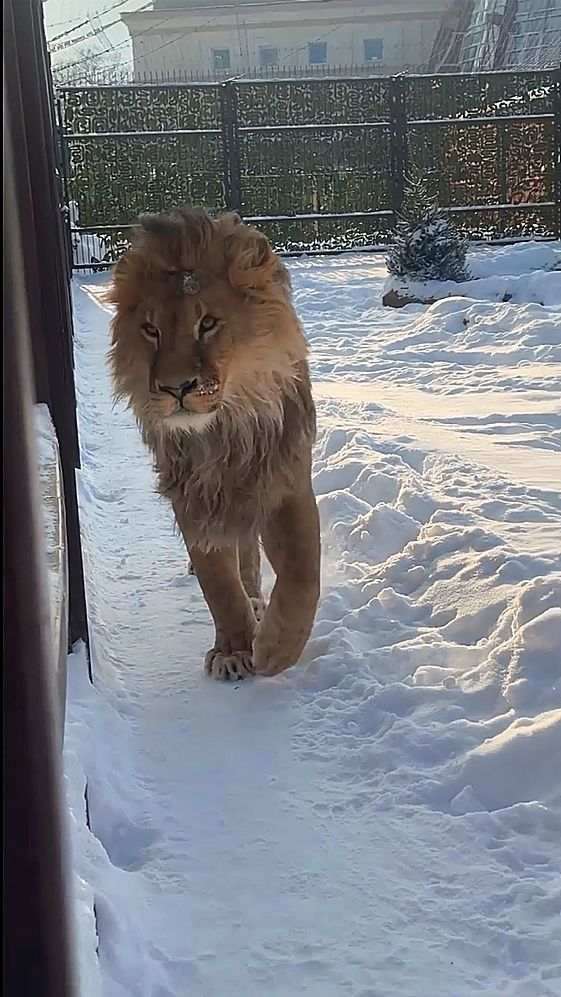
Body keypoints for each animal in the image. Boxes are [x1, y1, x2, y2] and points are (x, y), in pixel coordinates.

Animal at [109, 207, 320, 680]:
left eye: (207, 324)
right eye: (150, 330)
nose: (176, 388)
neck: (222, 432)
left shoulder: (282, 476)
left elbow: (302, 570)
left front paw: (276, 649)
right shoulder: (191, 490)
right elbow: (216, 582)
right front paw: (234, 649)